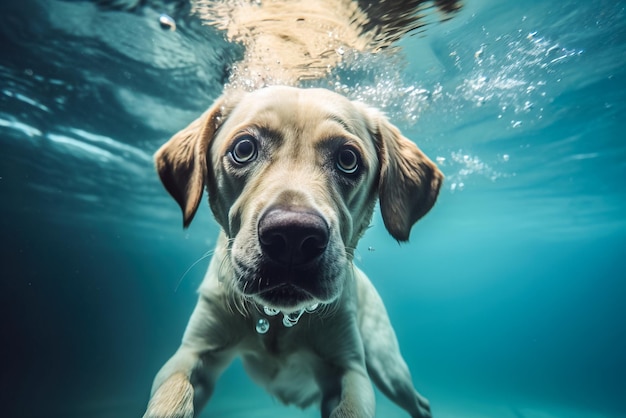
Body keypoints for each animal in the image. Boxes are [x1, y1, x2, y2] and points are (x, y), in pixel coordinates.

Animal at [143, 85, 442, 418]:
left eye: (348, 159)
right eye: (243, 149)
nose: (293, 236)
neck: (278, 320)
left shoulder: (350, 370)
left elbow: (350, 407)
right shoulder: (193, 352)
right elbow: (173, 395)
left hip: (387, 366)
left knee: (419, 403)